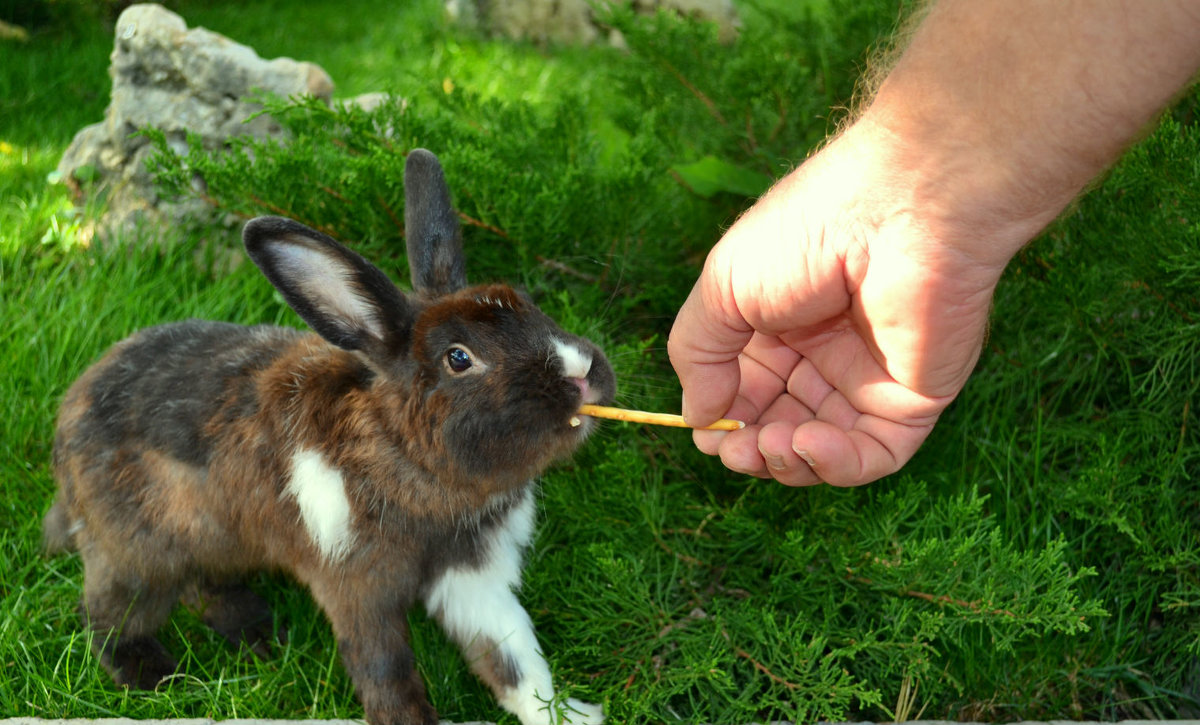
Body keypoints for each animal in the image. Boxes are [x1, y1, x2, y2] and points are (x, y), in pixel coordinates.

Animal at [42, 147, 614, 725]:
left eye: (526, 301)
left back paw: (258, 633)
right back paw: (155, 677)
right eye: (459, 358)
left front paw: (569, 715)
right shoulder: (357, 590)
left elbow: (512, 658)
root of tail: (70, 412)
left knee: (202, 585)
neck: (406, 456)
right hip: (136, 555)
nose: (582, 373)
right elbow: (385, 672)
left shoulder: (474, 578)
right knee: (108, 616)